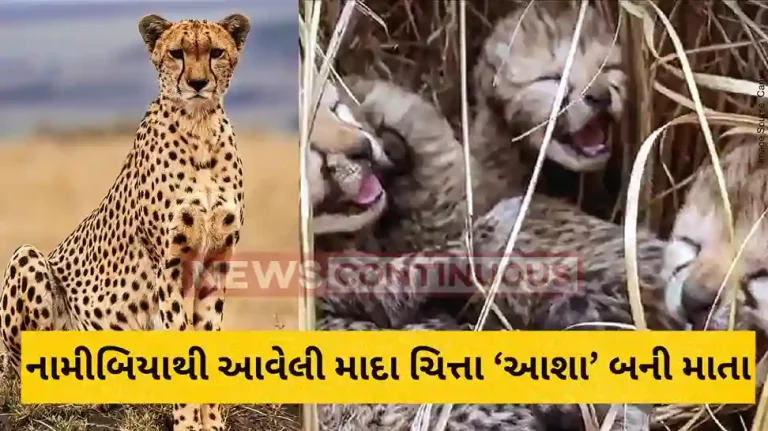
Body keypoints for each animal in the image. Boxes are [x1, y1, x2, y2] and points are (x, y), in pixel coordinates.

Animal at [0, 13, 251, 431]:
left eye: (216, 52)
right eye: (177, 53)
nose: (198, 83)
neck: (200, 128)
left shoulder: (218, 258)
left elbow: (206, 339)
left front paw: (211, 423)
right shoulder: (169, 265)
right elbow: (181, 344)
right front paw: (187, 423)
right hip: (27, 259)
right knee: (23, 376)